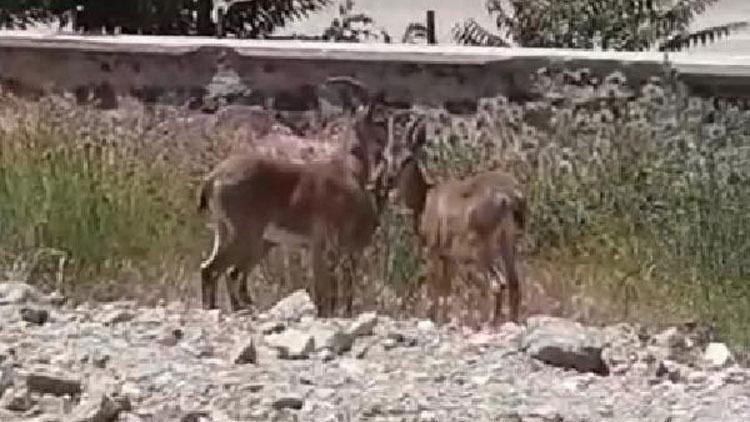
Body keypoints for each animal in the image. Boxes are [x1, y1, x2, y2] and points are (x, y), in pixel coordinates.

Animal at [394, 159, 528, 326]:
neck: (424, 199)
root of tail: (508, 198)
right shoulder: (448, 256)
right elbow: (447, 286)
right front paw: (444, 318)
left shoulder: (433, 249)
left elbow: (435, 283)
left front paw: (433, 318)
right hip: (507, 240)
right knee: (512, 281)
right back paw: (510, 320)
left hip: (482, 246)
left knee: (497, 282)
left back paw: (491, 321)